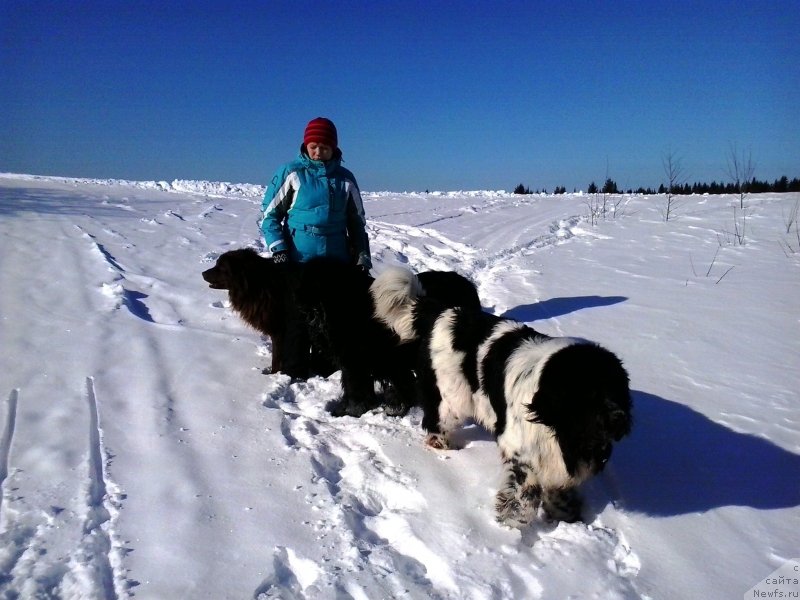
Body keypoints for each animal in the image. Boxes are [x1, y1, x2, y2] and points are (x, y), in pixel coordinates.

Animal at [372, 268, 636, 524]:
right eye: (590, 393)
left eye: (617, 389)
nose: (619, 418)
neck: (564, 428)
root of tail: (443, 311)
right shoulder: (520, 450)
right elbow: (523, 493)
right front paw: (511, 524)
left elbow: (558, 489)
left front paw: (565, 515)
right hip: (451, 398)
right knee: (436, 421)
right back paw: (444, 445)